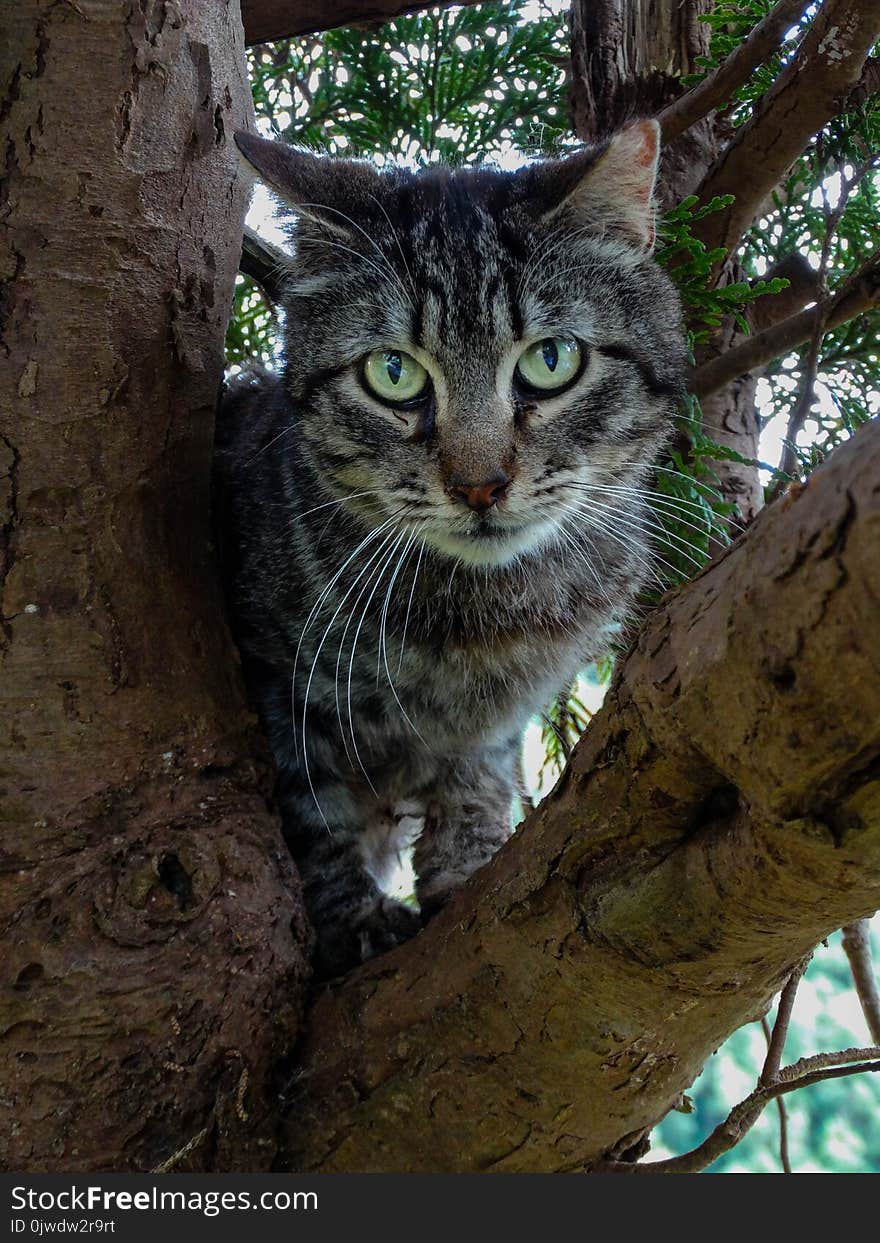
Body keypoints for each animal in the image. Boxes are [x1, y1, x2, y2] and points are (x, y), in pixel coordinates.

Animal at [215, 123, 686, 979]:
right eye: (393, 372)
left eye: (551, 359)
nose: (480, 485)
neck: (482, 621)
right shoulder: (273, 682)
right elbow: (310, 804)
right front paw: (352, 916)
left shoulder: (501, 719)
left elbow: (480, 775)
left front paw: (466, 861)